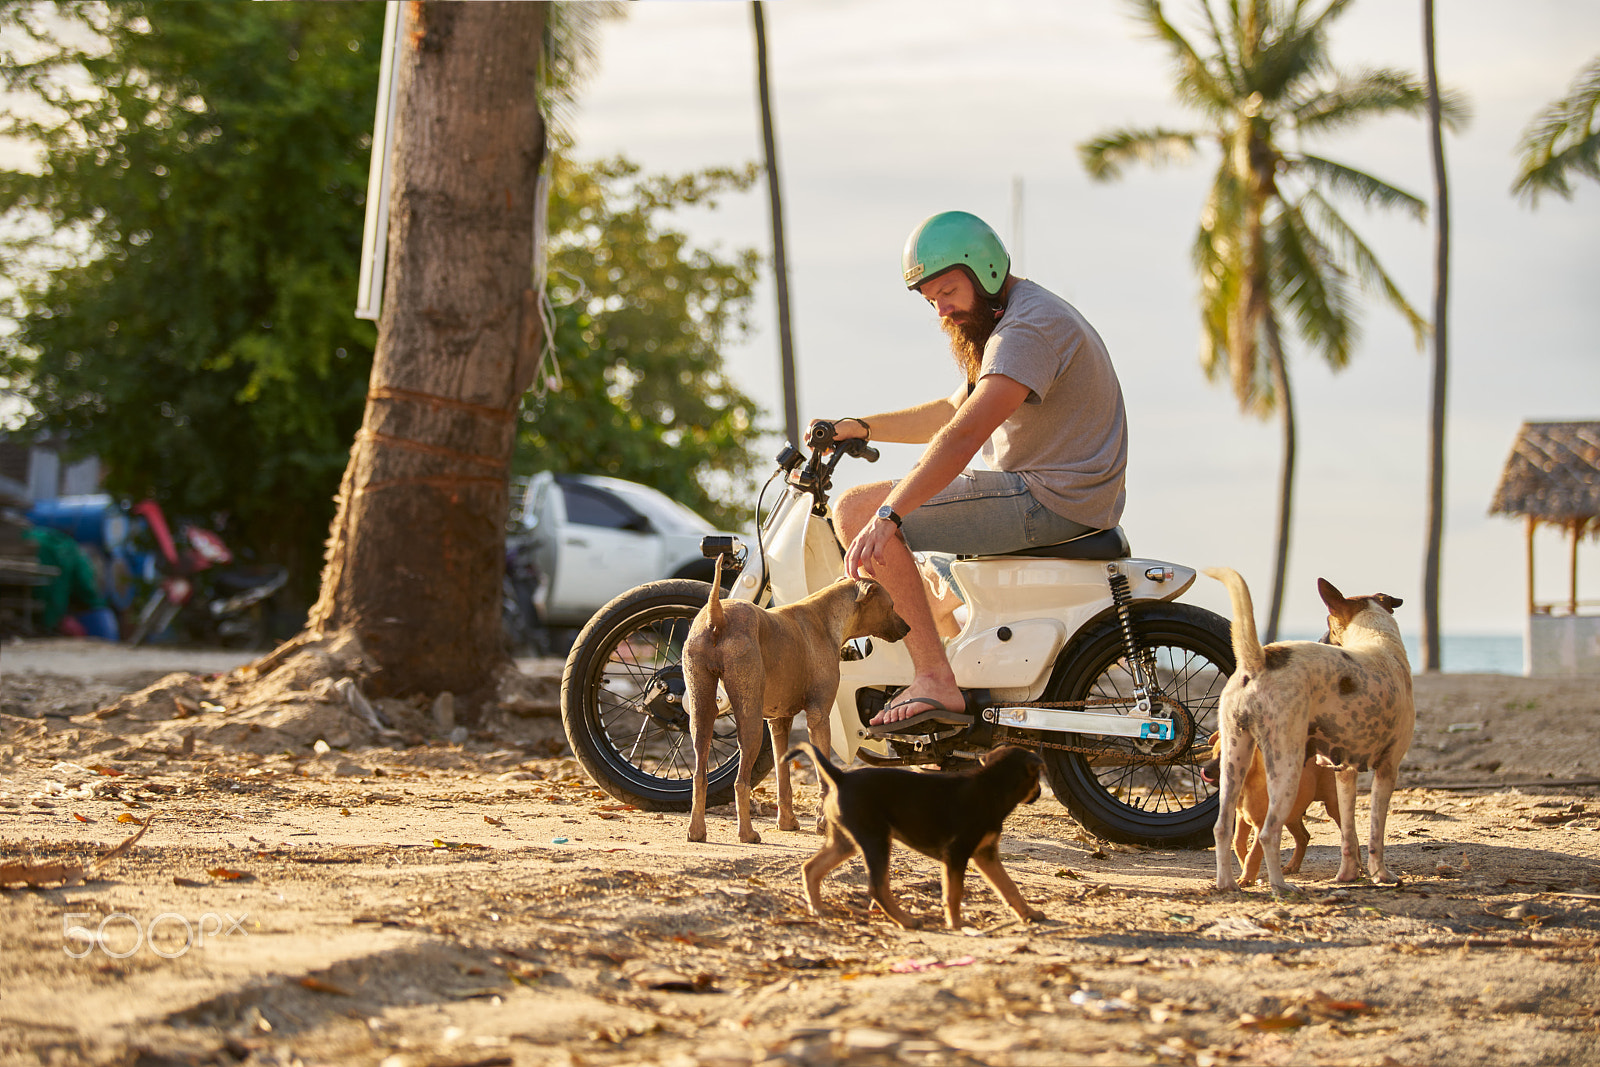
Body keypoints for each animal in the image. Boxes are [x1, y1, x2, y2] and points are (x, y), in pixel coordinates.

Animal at [678, 559, 915, 844]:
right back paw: (747, 834)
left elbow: (783, 778)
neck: (824, 618)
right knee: (740, 782)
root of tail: (717, 616)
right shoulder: (819, 717)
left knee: (699, 776)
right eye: (891, 605)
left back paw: (696, 831)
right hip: (750, 719)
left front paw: (787, 823)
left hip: (701, 712)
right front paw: (824, 824)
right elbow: (823, 779)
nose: (907, 627)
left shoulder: (778, 722)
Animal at [777, 742, 1049, 927]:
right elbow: (954, 892)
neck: (993, 786)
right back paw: (906, 920)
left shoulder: (985, 854)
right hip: (876, 839)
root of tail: (841, 777)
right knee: (876, 887)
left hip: (845, 841)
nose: (1039, 793)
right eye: (1037, 778)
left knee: (811, 868)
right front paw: (956, 924)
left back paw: (817, 909)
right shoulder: (957, 854)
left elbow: (1008, 886)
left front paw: (1029, 914)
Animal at [1203, 729, 1337, 889]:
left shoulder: (1261, 825)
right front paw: (1246, 870)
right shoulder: (1242, 818)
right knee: (1304, 837)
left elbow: (1253, 854)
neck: (1248, 784)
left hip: (1332, 805)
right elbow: (1238, 843)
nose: (1204, 771)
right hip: (1291, 816)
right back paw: (1292, 866)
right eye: (1213, 753)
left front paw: (1246, 878)